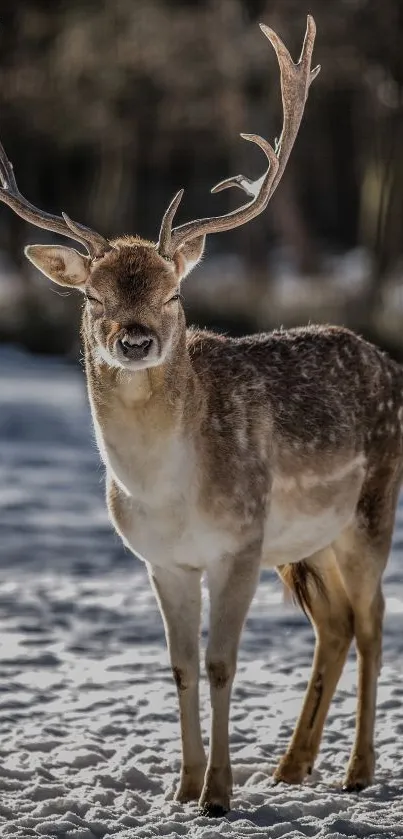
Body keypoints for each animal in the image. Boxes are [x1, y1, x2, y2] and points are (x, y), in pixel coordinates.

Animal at [0, 13, 403, 816]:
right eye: (91, 294)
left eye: (174, 293)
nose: (135, 337)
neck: (167, 490)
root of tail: (390, 363)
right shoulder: (161, 559)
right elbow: (181, 667)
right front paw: (183, 789)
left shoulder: (239, 542)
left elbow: (222, 663)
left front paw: (219, 793)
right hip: (307, 542)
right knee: (337, 624)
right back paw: (290, 767)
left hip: (370, 510)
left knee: (374, 622)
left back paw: (355, 770)